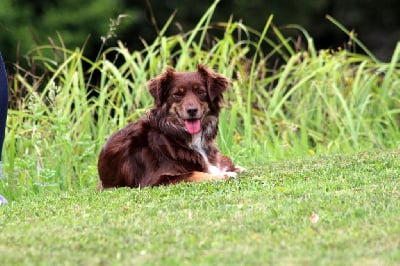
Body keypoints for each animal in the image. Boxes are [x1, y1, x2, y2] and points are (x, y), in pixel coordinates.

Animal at [96, 64, 244, 189]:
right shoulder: (155, 179)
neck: (175, 134)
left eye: (200, 92)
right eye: (177, 94)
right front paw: (225, 175)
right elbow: (194, 173)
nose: (192, 110)